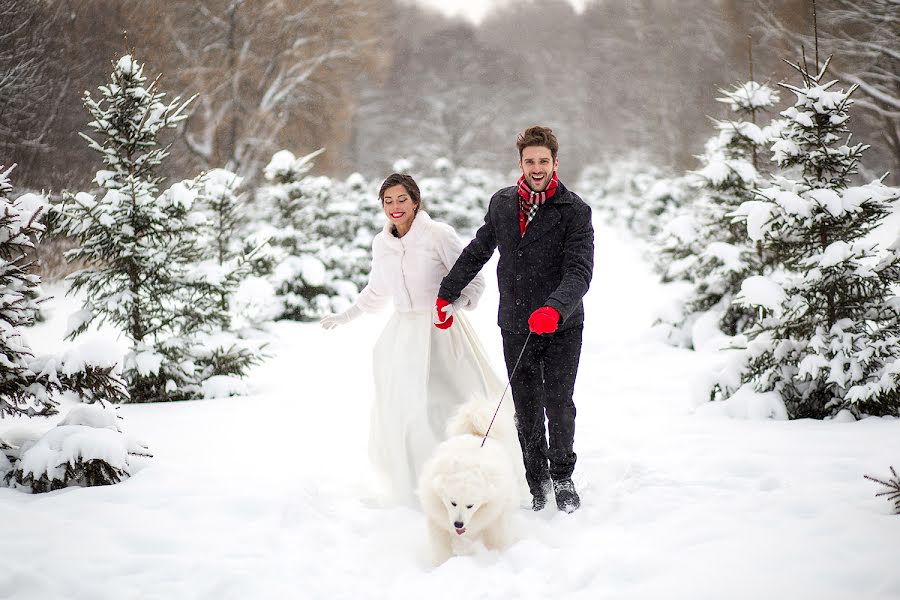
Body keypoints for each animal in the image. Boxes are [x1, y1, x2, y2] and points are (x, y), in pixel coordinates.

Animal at [416, 396, 524, 564]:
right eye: (452, 503)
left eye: (470, 505)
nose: (458, 523)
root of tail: (477, 434)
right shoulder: (437, 519)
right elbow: (441, 545)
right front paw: (441, 564)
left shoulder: (495, 515)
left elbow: (496, 538)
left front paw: (497, 555)